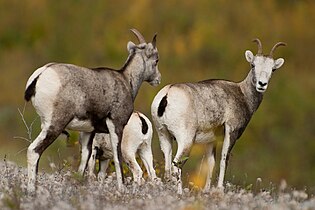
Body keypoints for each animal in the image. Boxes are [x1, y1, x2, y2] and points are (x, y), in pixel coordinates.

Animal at [24, 29, 160, 192]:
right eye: (156, 60)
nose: (158, 79)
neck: (126, 80)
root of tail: (40, 75)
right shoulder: (116, 126)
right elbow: (117, 158)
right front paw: (121, 190)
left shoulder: (88, 133)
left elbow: (83, 164)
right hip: (54, 126)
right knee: (34, 151)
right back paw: (32, 191)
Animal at [152, 39, 288, 194]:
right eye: (253, 64)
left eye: (273, 69)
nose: (262, 84)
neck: (243, 94)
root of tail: (167, 94)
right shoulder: (231, 132)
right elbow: (224, 160)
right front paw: (220, 189)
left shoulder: (212, 141)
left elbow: (211, 163)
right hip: (185, 140)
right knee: (177, 166)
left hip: (164, 136)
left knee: (168, 168)